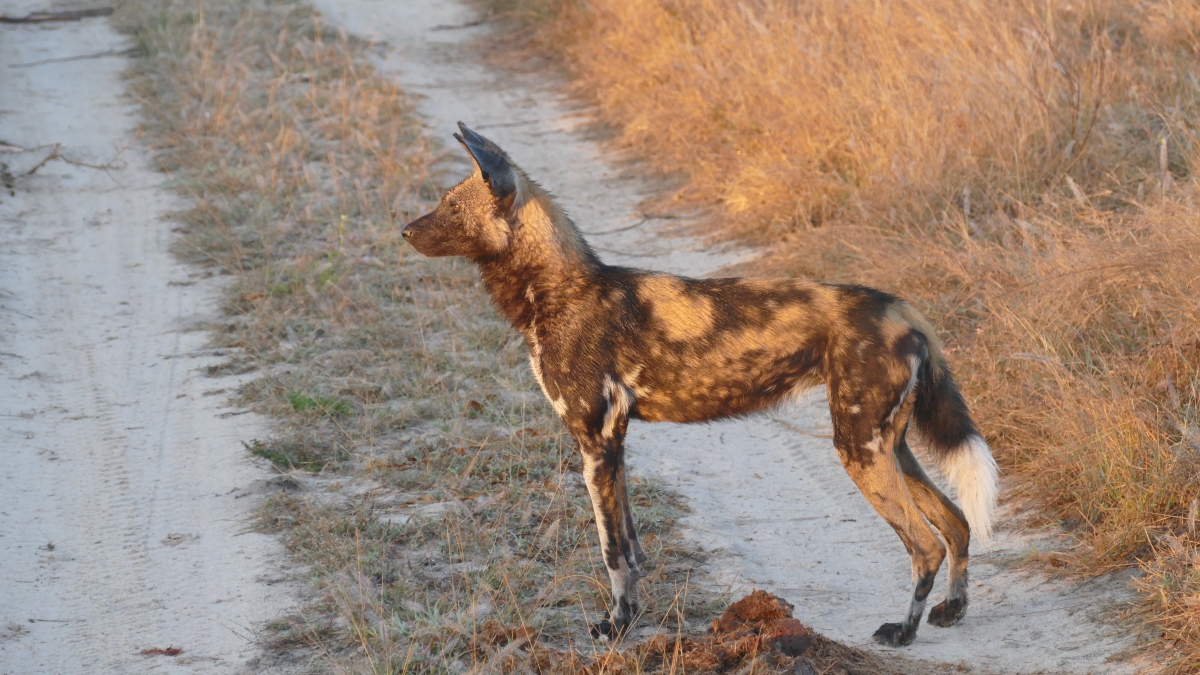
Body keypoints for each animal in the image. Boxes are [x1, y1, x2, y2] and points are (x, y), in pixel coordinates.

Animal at [405, 123, 1003, 643]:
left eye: (452, 209)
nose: (405, 230)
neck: (558, 290)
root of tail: (902, 309)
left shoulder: (594, 442)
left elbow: (611, 551)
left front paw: (616, 627)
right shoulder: (613, 445)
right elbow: (631, 547)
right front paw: (630, 614)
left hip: (859, 448)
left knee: (925, 545)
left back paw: (903, 632)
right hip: (888, 446)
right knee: (956, 524)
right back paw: (952, 611)